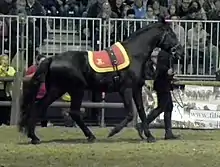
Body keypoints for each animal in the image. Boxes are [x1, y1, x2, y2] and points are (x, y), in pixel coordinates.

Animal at [18, 17, 184, 145]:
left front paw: (148, 135)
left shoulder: (136, 88)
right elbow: (131, 113)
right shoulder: (126, 89)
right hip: (74, 90)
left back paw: (35, 137)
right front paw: (113, 131)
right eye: (171, 34)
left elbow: (141, 112)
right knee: (71, 112)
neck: (134, 54)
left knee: (42, 107)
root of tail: (51, 59)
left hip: (58, 90)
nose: (180, 51)